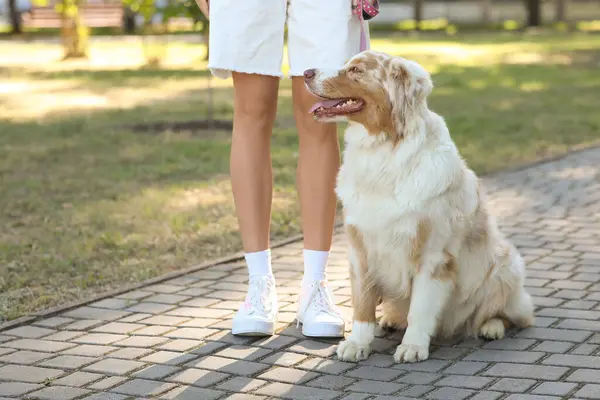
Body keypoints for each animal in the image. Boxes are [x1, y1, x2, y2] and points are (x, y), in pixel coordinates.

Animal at [304, 51, 536, 364]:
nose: (305, 72)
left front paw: (413, 346)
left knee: (512, 314)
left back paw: (491, 327)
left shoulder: (433, 255)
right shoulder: (360, 248)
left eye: (356, 70)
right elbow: (362, 303)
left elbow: (421, 307)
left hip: (507, 268)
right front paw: (357, 343)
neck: (384, 150)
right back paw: (392, 318)